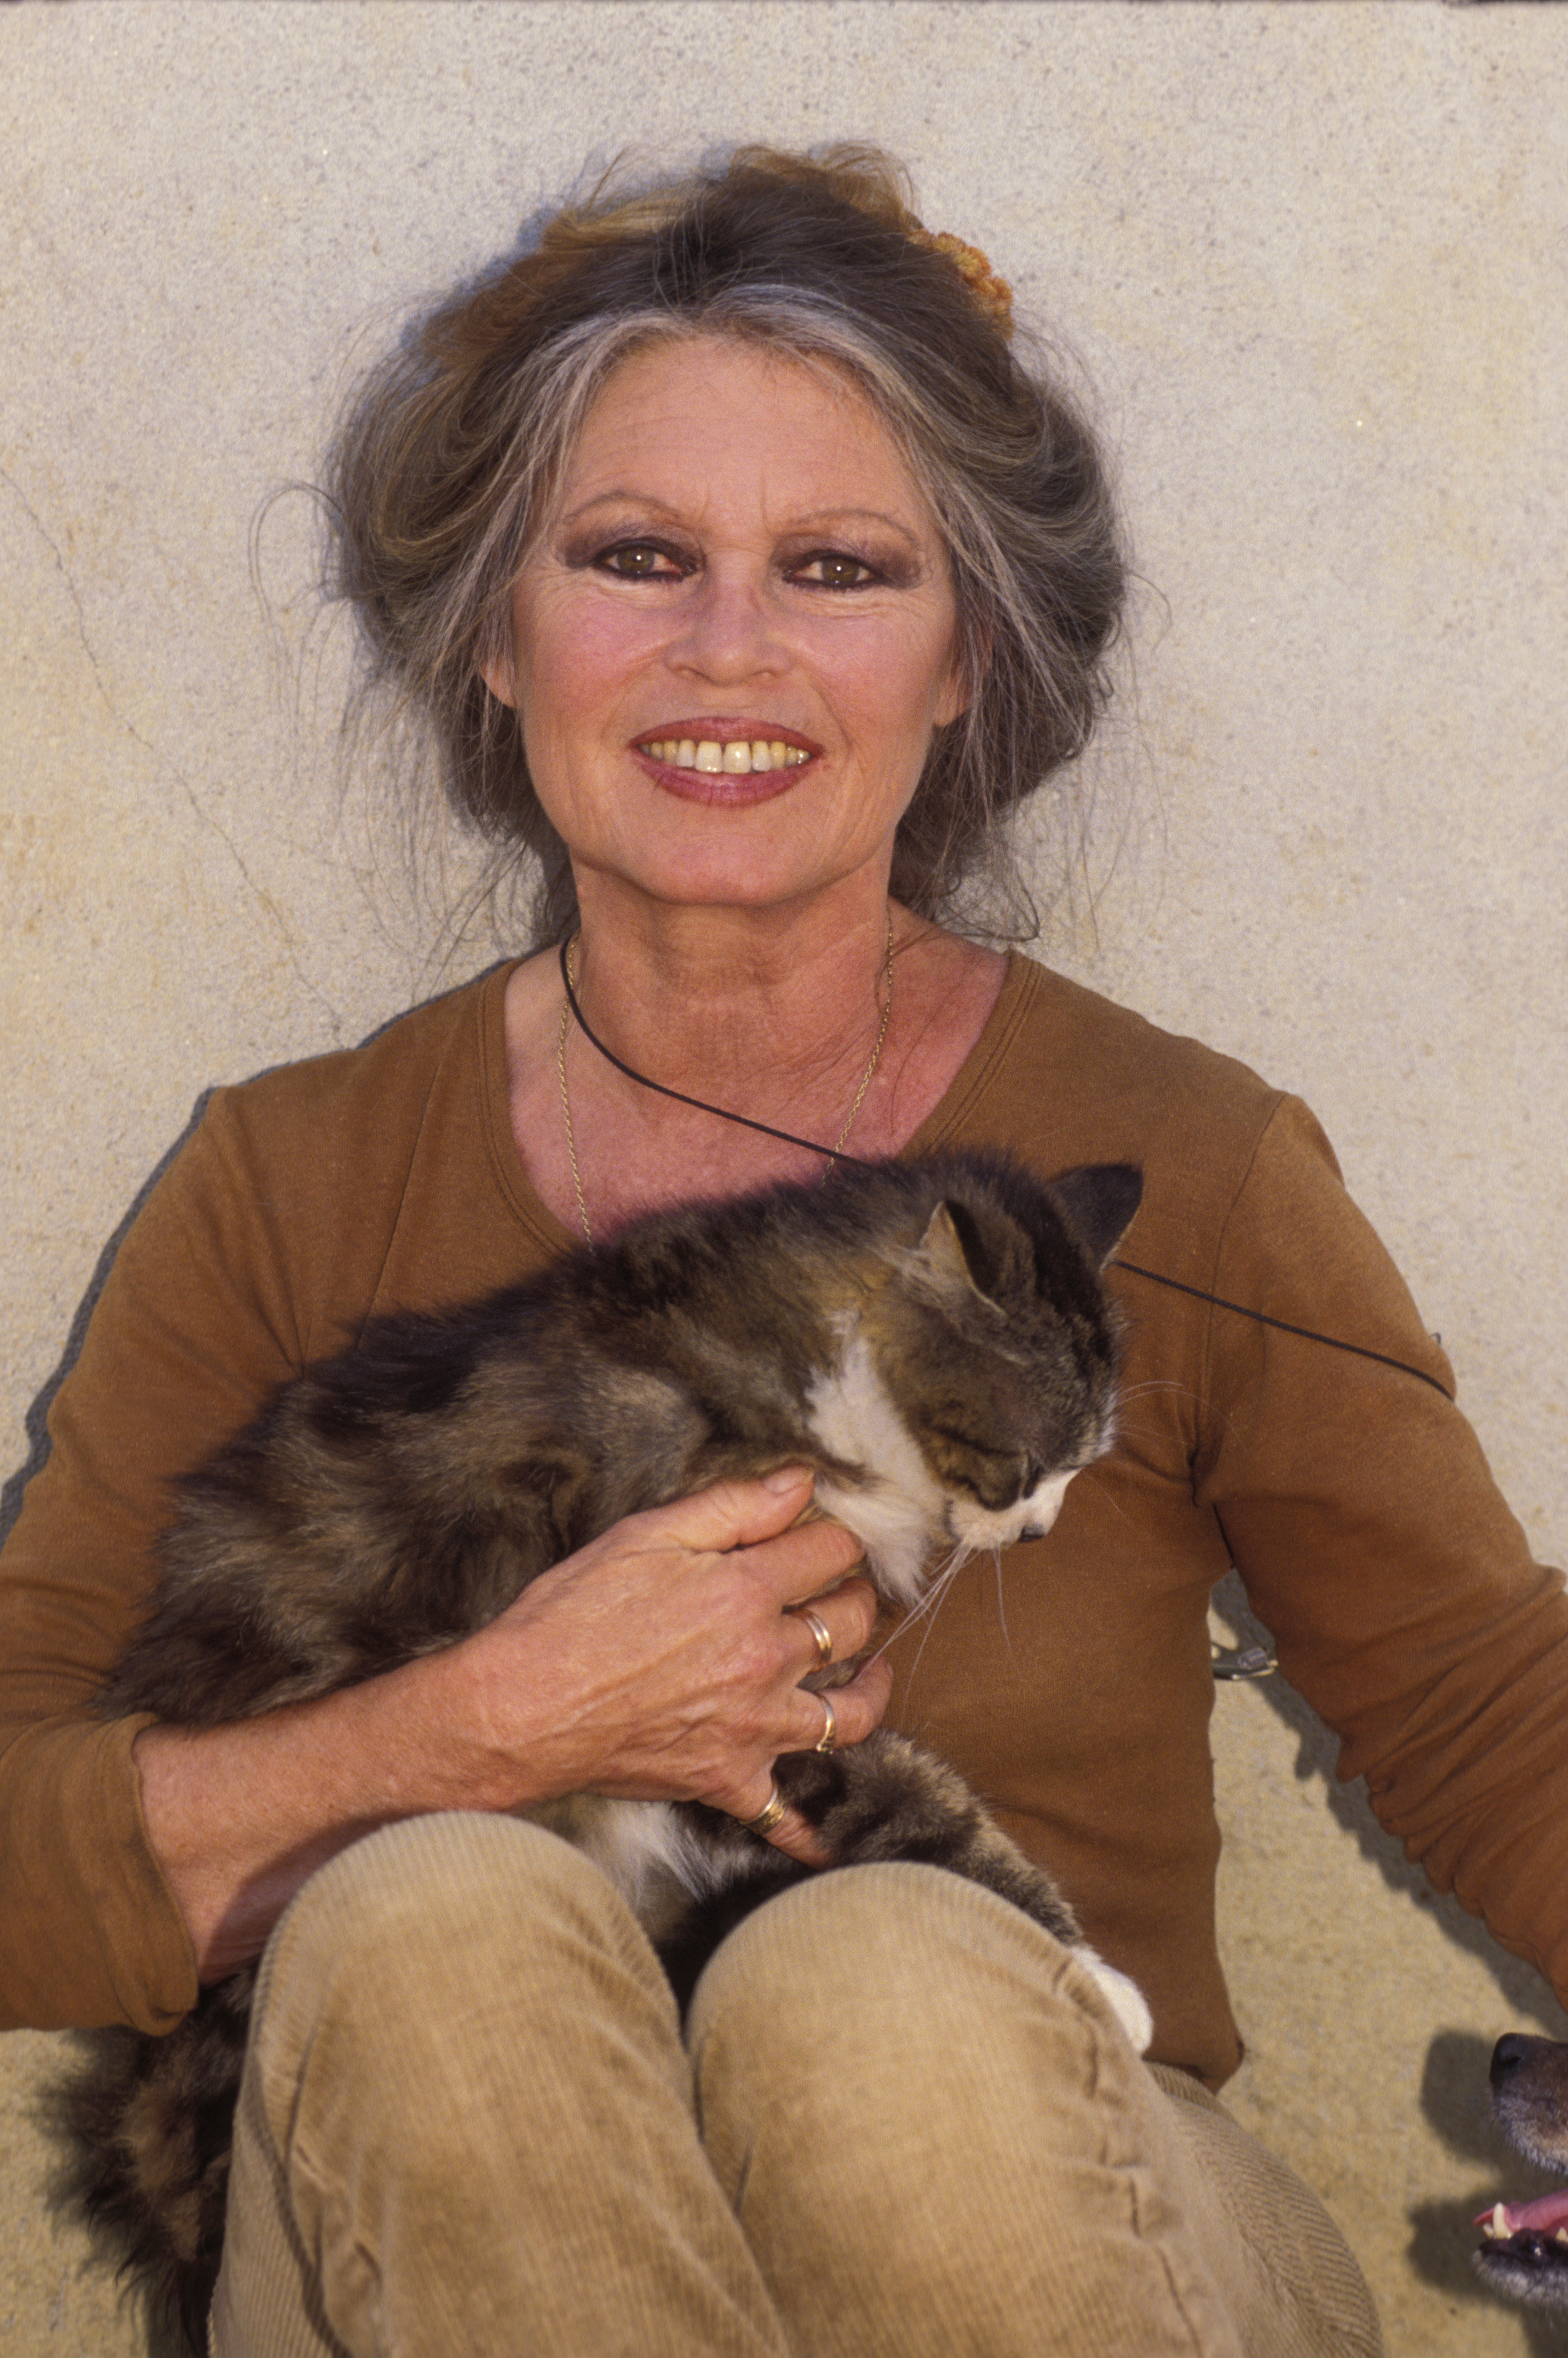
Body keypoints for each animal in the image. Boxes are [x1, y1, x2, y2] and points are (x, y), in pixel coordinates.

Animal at [58, 1141, 1150, 2339]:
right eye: (1031, 1462)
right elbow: (932, 1803)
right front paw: (1099, 1982)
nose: (1041, 1531)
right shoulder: (735, 1689)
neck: (810, 1364)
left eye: (1084, 1466)